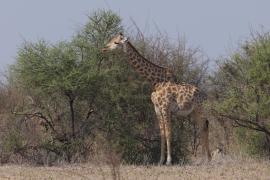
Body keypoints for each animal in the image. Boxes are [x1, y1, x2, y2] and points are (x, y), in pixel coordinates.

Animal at [102, 32, 212, 165]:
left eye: (116, 42)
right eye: (112, 39)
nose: (104, 48)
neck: (156, 82)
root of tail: (204, 94)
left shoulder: (165, 108)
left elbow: (169, 132)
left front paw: (169, 161)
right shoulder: (157, 109)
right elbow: (162, 134)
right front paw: (160, 161)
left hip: (200, 109)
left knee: (204, 127)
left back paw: (207, 159)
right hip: (194, 111)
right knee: (202, 128)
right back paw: (204, 159)